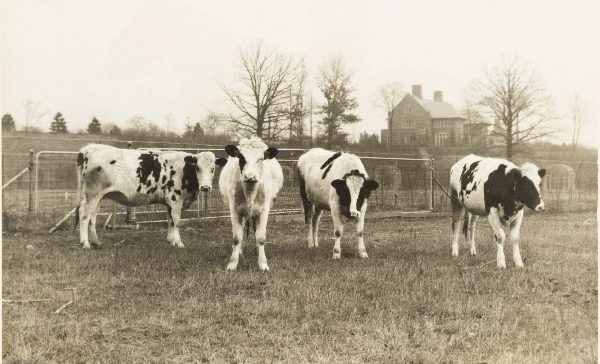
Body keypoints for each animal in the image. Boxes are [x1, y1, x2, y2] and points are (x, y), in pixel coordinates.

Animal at [75, 144, 225, 249]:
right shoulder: (176, 200)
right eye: (197, 168)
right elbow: (176, 221)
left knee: (92, 217)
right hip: (92, 193)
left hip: (98, 196)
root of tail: (90, 148)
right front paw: (178, 243)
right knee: (84, 214)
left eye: (213, 169)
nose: (205, 187)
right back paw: (85, 243)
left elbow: (169, 221)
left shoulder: (169, 203)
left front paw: (171, 241)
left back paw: (96, 242)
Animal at [218, 136, 284, 270]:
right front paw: (233, 263)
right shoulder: (235, 210)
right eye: (241, 157)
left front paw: (263, 263)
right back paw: (240, 252)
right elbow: (237, 238)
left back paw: (257, 250)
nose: (250, 176)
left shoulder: (264, 210)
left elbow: (261, 237)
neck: (250, 192)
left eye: (261, 158)